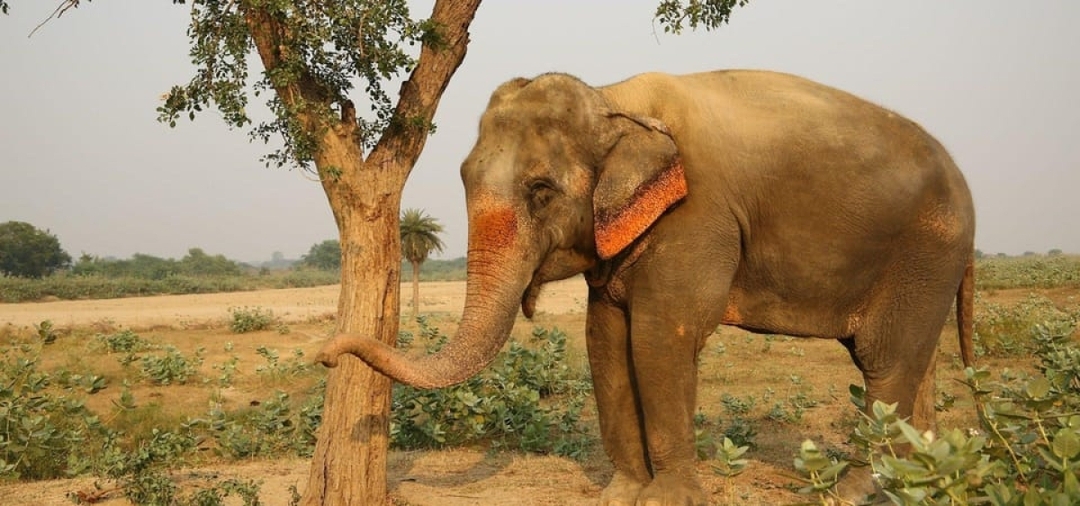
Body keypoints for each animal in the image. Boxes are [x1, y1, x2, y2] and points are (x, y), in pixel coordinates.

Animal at [317, 69, 976, 505]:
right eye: (462, 176)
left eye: (540, 191)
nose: (325, 354)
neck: (614, 101)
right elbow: (605, 339)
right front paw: (620, 495)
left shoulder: (697, 216)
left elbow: (660, 339)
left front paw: (666, 499)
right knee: (913, 364)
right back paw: (922, 477)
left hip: (925, 252)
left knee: (885, 363)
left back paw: (857, 491)